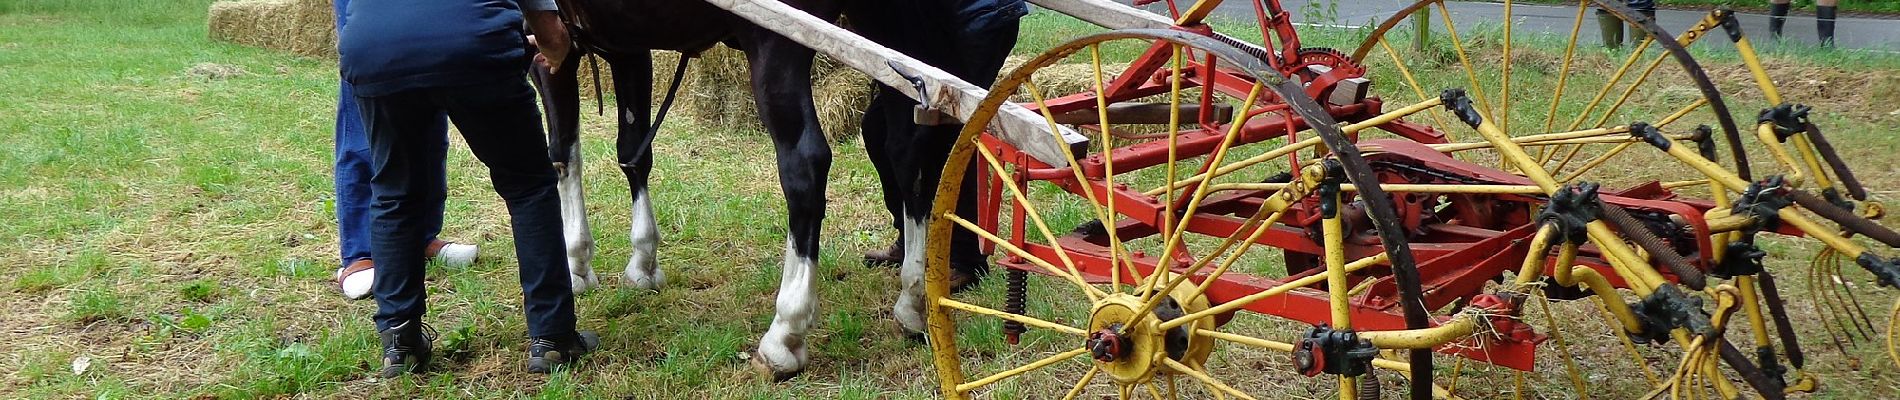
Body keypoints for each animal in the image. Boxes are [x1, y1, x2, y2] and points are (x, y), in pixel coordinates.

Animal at [520, 0, 995, 381]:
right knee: (907, 147)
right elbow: (633, 152)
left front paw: (576, 261)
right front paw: (643, 260)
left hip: (777, 43)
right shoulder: (626, 42)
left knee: (805, 167)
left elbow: (562, 155)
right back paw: (913, 297)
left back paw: (785, 334)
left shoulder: (549, 45)